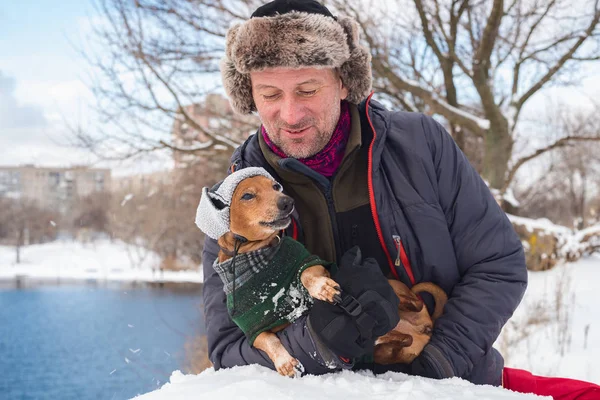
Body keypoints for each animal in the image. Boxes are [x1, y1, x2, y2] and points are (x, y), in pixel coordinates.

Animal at [219, 174, 342, 376]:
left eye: (276, 186)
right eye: (247, 196)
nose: (287, 202)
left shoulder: (311, 262)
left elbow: (306, 274)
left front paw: (322, 288)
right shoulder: (252, 328)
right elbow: (268, 340)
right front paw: (286, 363)